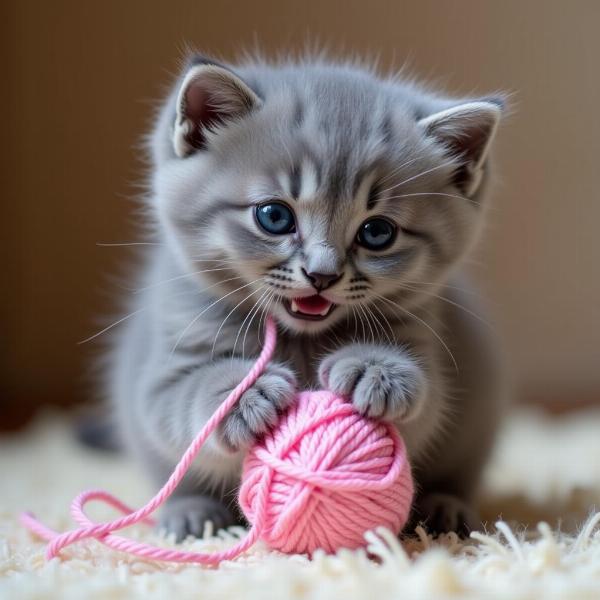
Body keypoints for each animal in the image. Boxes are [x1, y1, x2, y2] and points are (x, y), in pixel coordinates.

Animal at [108, 56, 506, 540]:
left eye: (378, 232)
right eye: (274, 216)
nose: (322, 274)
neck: (300, 337)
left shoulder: (425, 343)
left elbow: (426, 406)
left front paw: (376, 370)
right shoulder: (166, 359)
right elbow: (177, 400)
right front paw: (244, 391)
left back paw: (445, 507)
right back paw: (190, 512)